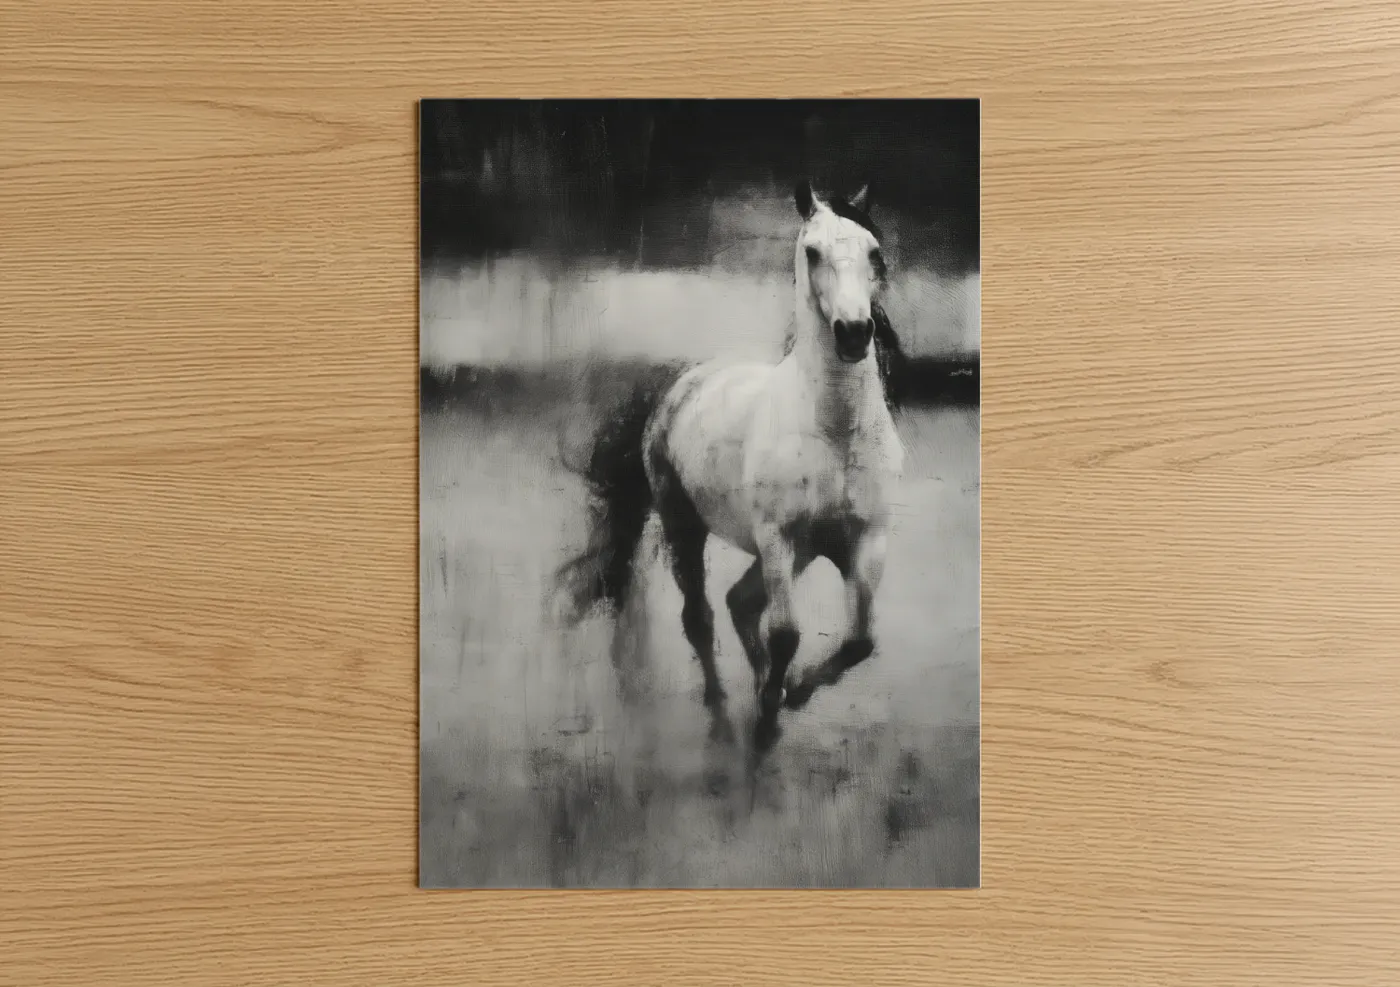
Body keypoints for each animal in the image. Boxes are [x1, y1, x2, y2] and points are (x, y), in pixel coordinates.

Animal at [555, 180, 906, 752]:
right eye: (813, 251)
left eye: (874, 251)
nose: (854, 333)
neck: (836, 433)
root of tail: (678, 387)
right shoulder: (778, 537)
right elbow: (786, 634)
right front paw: (767, 717)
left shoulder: (863, 539)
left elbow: (860, 642)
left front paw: (787, 694)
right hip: (686, 526)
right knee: (700, 616)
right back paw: (722, 713)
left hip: (796, 552)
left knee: (740, 602)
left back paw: (766, 688)